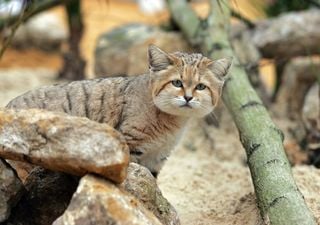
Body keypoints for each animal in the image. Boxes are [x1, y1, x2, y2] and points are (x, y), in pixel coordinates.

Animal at [7, 44, 231, 177]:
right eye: (177, 83)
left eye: (200, 87)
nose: (188, 97)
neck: (172, 123)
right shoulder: (130, 145)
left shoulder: (157, 158)